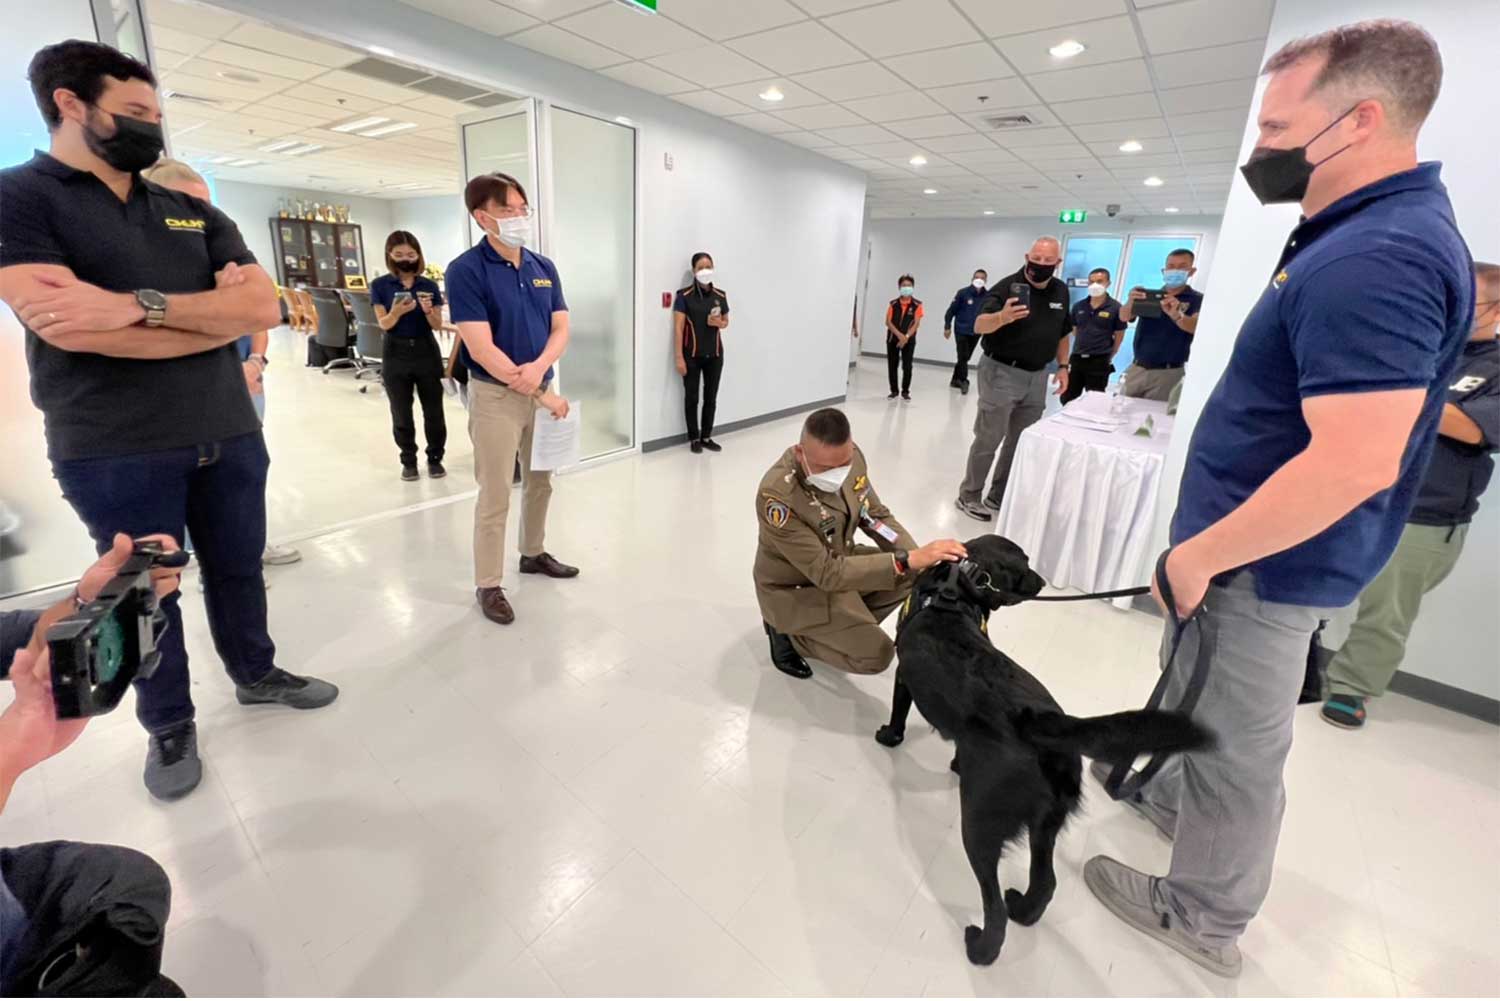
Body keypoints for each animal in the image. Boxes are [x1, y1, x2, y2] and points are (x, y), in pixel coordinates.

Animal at [876, 537, 1212, 966]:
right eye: (1023, 562)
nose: (1042, 580)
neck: (956, 591)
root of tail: (1045, 725)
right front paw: (954, 762)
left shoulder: (905, 675)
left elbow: (899, 710)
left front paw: (888, 735)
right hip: (1046, 824)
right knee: (1046, 882)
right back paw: (1024, 909)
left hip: (981, 822)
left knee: (994, 907)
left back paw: (982, 947)